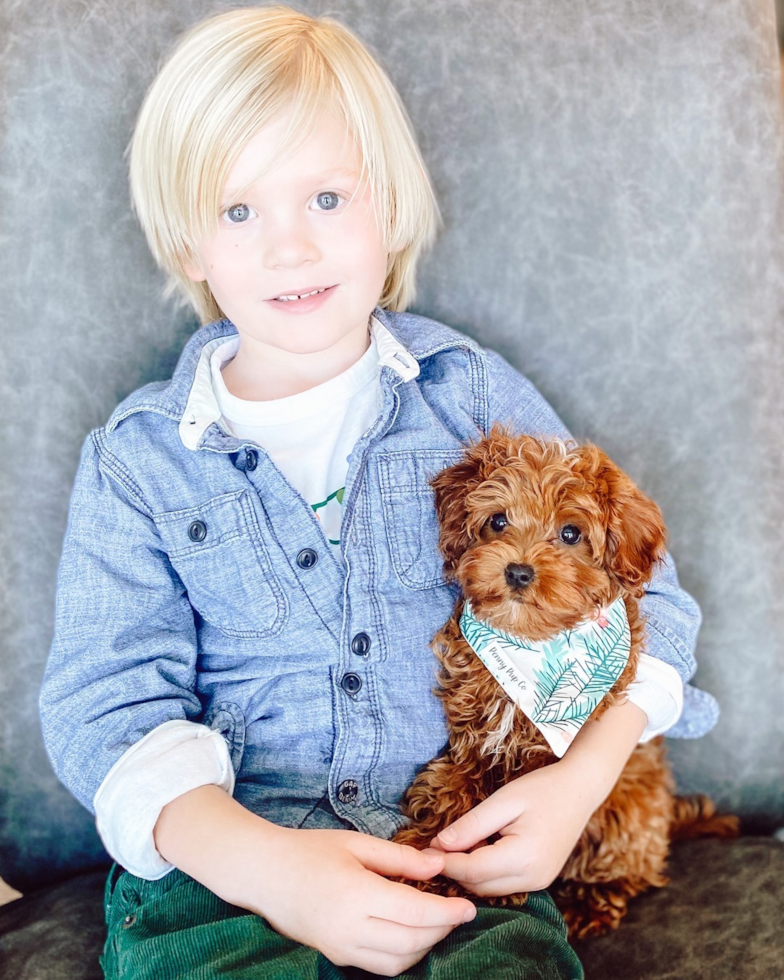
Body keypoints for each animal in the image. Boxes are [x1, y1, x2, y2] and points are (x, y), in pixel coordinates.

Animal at [396, 432, 740, 936]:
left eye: (571, 534)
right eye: (497, 520)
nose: (518, 571)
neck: (531, 642)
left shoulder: (549, 755)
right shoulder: (471, 738)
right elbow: (451, 787)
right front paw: (424, 849)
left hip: (629, 812)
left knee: (626, 869)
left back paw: (590, 903)